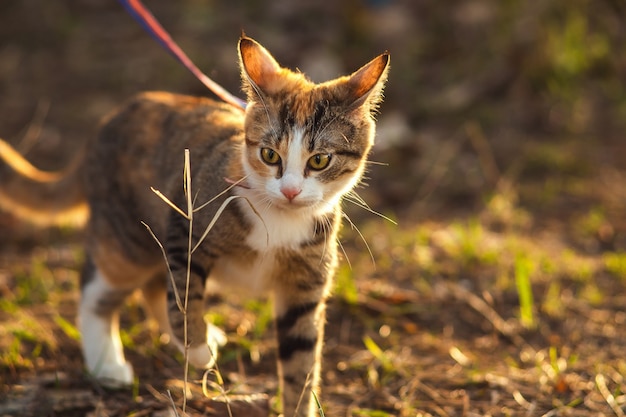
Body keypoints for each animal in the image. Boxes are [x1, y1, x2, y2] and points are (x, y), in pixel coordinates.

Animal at [0, 36, 388, 416]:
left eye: (320, 160)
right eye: (269, 155)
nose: (290, 190)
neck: (280, 219)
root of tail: (103, 127)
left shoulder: (306, 283)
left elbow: (301, 358)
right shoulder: (184, 226)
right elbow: (184, 292)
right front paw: (198, 350)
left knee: (154, 285)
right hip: (128, 235)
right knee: (101, 288)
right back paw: (108, 364)